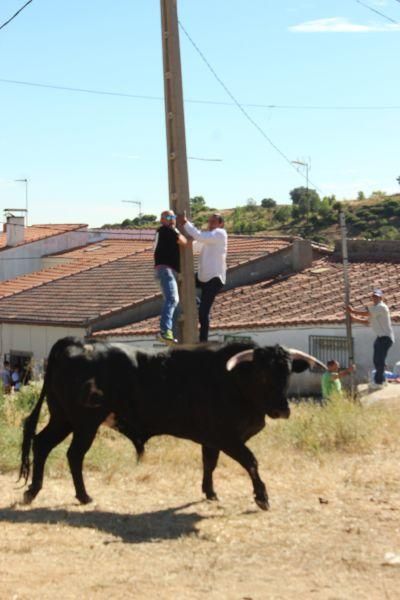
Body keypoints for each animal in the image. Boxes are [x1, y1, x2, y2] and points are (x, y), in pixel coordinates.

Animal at [19, 338, 324, 510]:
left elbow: (209, 463)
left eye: (287, 373)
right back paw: (83, 496)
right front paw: (261, 497)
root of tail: (75, 345)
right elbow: (251, 461)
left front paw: (210, 493)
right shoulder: (227, 437)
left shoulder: (211, 439)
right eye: (262, 374)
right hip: (84, 424)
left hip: (63, 419)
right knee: (73, 455)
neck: (233, 380)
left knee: (42, 444)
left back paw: (32, 491)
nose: (282, 409)